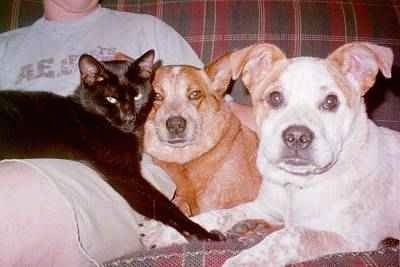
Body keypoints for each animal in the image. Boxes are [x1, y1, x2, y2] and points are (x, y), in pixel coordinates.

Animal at [0, 50, 222, 243]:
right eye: (111, 98)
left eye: (137, 96)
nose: (129, 117)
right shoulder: (125, 176)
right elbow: (163, 205)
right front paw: (202, 233)